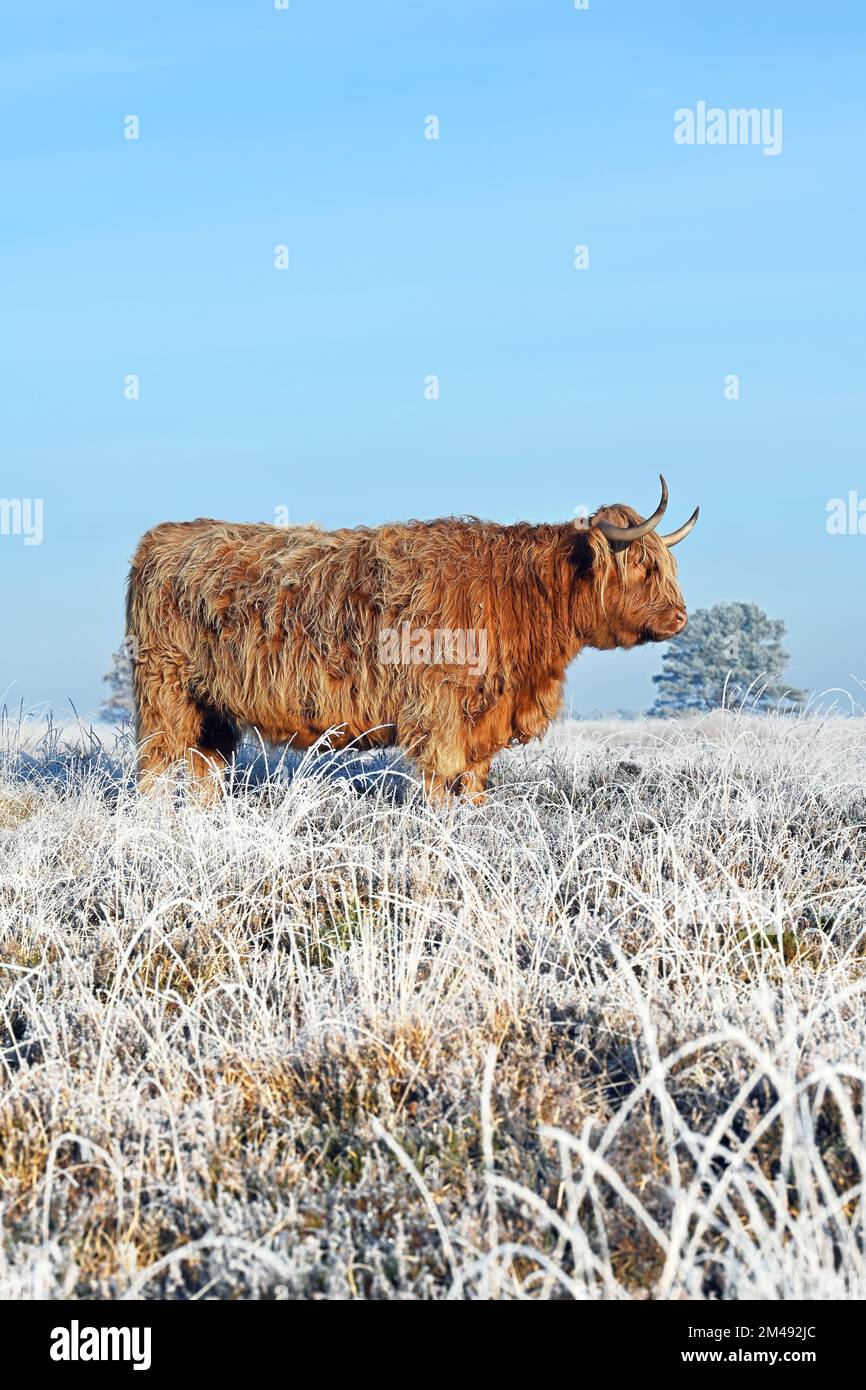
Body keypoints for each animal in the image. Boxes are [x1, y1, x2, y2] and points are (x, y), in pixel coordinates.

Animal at [126, 477, 698, 802]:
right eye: (643, 567)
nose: (680, 618)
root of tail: (163, 536)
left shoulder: (481, 723)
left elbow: (473, 785)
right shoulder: (439, 713)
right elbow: (442, 784)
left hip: (210, 710)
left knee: (205, 770)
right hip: (165, 695)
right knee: (155, 770)